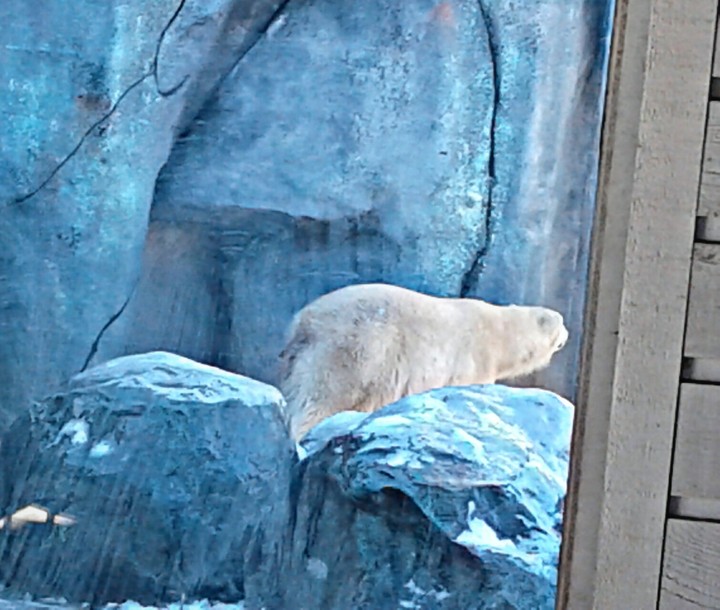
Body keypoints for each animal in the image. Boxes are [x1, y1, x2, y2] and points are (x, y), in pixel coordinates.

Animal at [278, 283, 569, 441]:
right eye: (562, 323)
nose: (567, 334)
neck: (500, 333)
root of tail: (303, 323)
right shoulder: (473, 360)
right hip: (357, 347)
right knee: (324, 395)